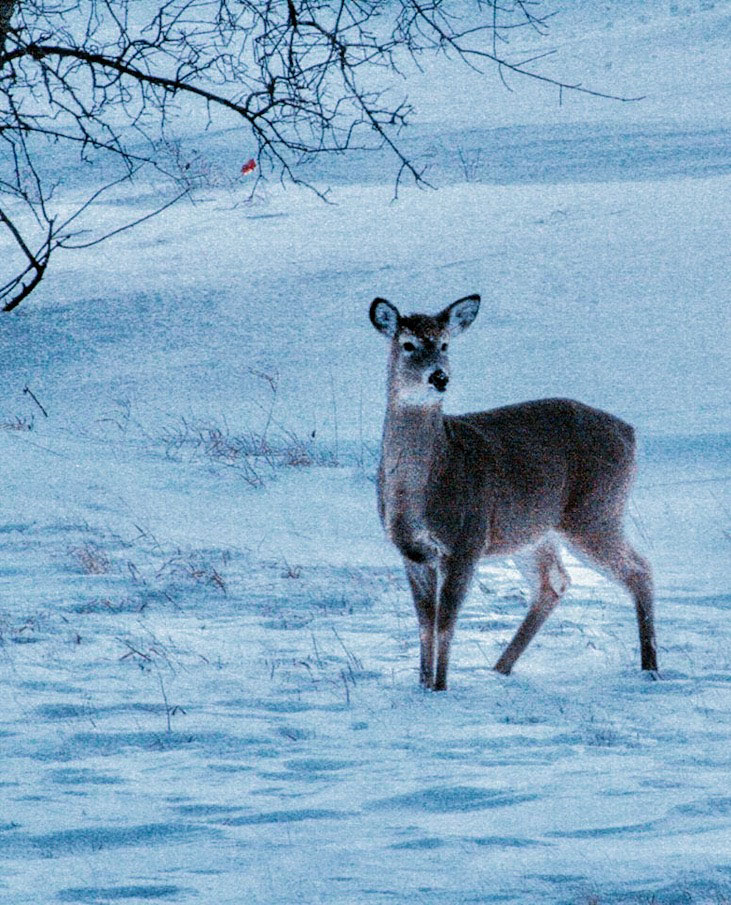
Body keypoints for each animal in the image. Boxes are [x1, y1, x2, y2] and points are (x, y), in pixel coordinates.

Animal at [369, 294, 657, 691]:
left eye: (445, 344)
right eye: (408, 344)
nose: (440, 377)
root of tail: (630, 433)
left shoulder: (466, 540)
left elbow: (445, 623)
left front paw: (440, 689)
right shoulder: (412, 552)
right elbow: (425, 626)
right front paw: (423, 686)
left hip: (596, 511)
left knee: (640, 569)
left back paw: (650, 668)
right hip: (534, 532)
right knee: (555, 582)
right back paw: (499, 668)